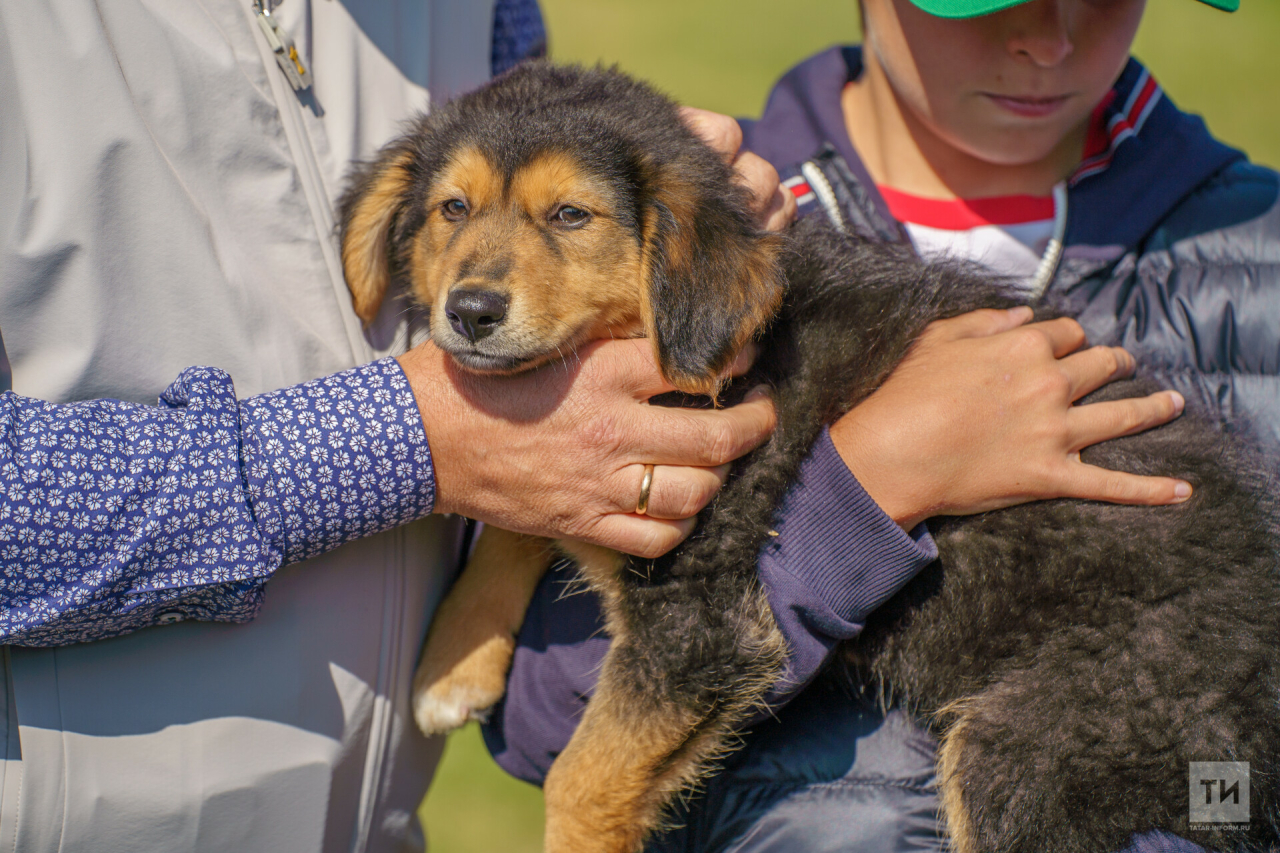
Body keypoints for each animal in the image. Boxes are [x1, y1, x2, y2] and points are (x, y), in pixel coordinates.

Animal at [340, 61, 1280, 850]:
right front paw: (456, 661)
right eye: (452, 209)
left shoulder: (702, 628)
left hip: (1041, 742)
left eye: (571, 215)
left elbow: (582, 777)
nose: (470, 312)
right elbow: (526, 502)